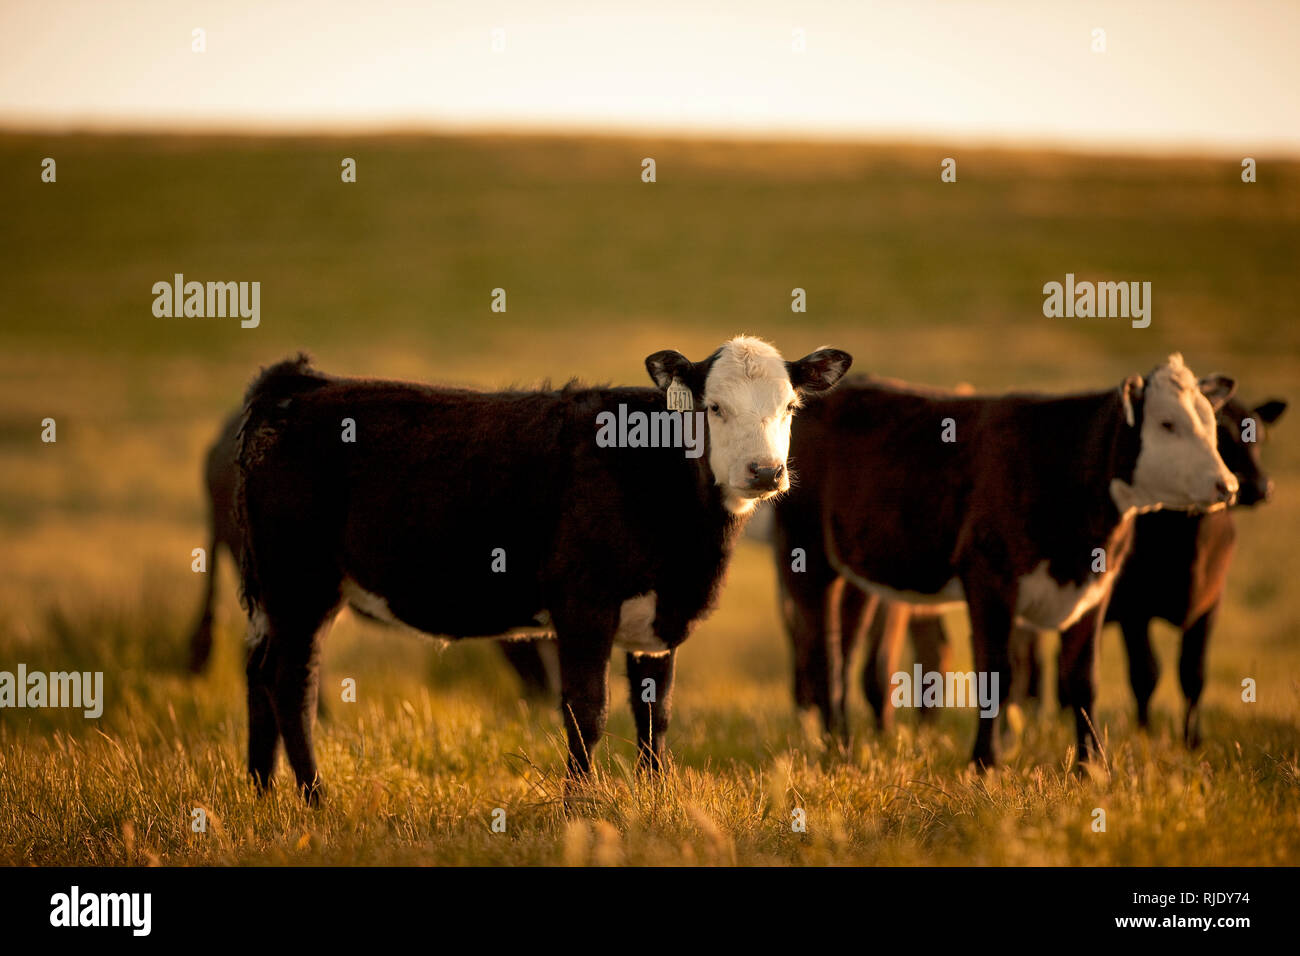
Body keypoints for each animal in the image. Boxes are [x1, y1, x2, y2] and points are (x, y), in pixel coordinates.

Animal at [237, 337, 851, 801]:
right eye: (715, 407)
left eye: (790, 408)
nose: (765, 471)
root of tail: (305, 384)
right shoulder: (584, 605)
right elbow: (587, 711)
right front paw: (579, 805)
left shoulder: (658, 622)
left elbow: (656, 714)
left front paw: (656, 800)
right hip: (299, 585)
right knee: (293, 685)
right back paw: (316, 801)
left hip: (279, 597)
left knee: (259, 673)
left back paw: (264, 794)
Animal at [771, 354, 1237, 769]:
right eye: (1167, 424)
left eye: (1211, 424)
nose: (1227, 484)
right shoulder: (989, 578)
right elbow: (997, 674)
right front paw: (985, 763)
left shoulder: (1095, 589)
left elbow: (1084, 680)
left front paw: (1092, 767)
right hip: (806, 555)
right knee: (822, 653)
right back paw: (837, 749)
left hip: (856, 573)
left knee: (844, 650)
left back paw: (841, 742)